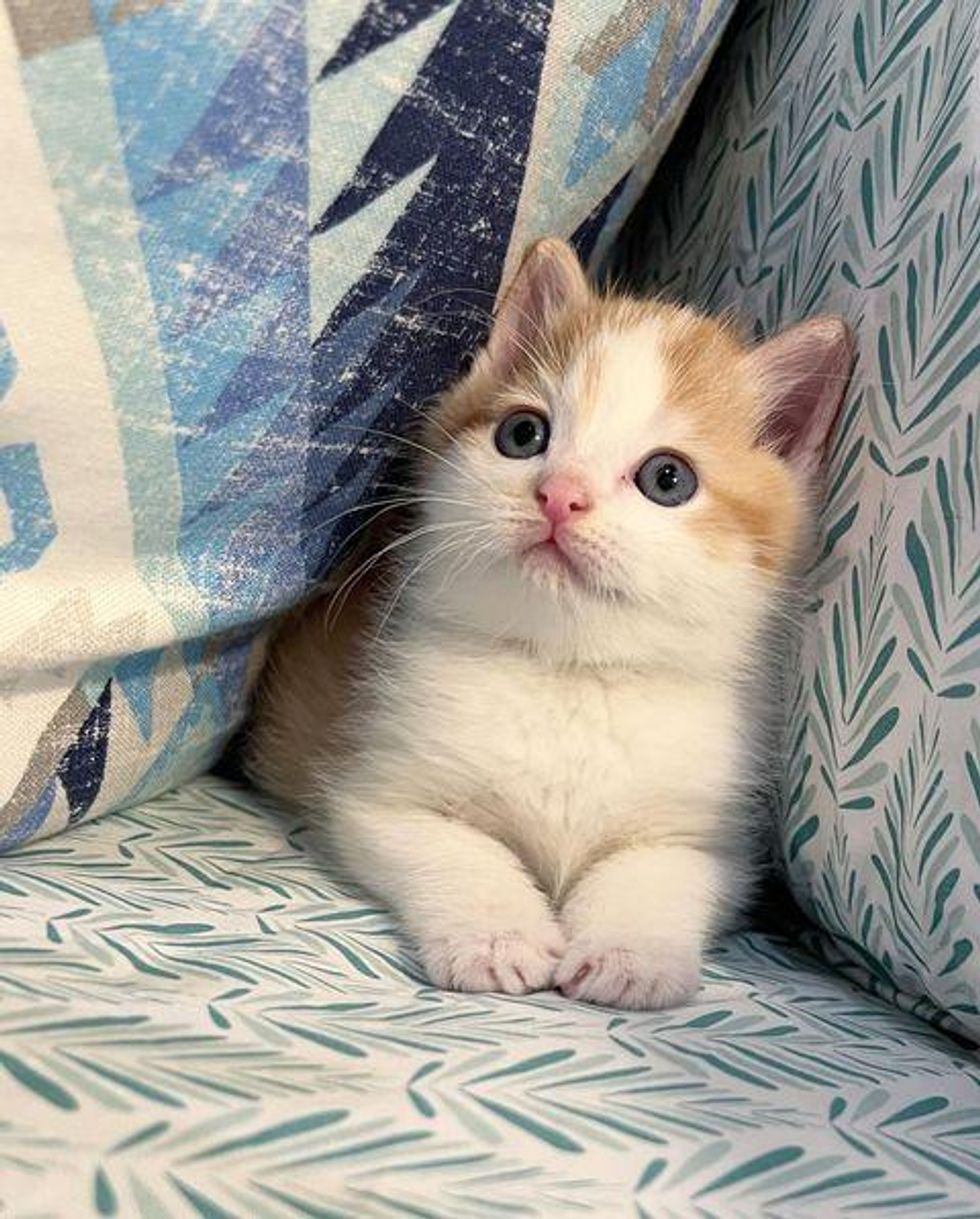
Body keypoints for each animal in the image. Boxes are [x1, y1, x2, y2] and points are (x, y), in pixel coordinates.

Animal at [247, 235, 848, 1009]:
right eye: (523, 433)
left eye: (668, 479)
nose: (560, 495)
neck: (569, 670)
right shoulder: (376, 792)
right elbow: (460, 850)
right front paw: (498, 937)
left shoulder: (708, 839)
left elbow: (656, 875)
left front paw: (630, 954)